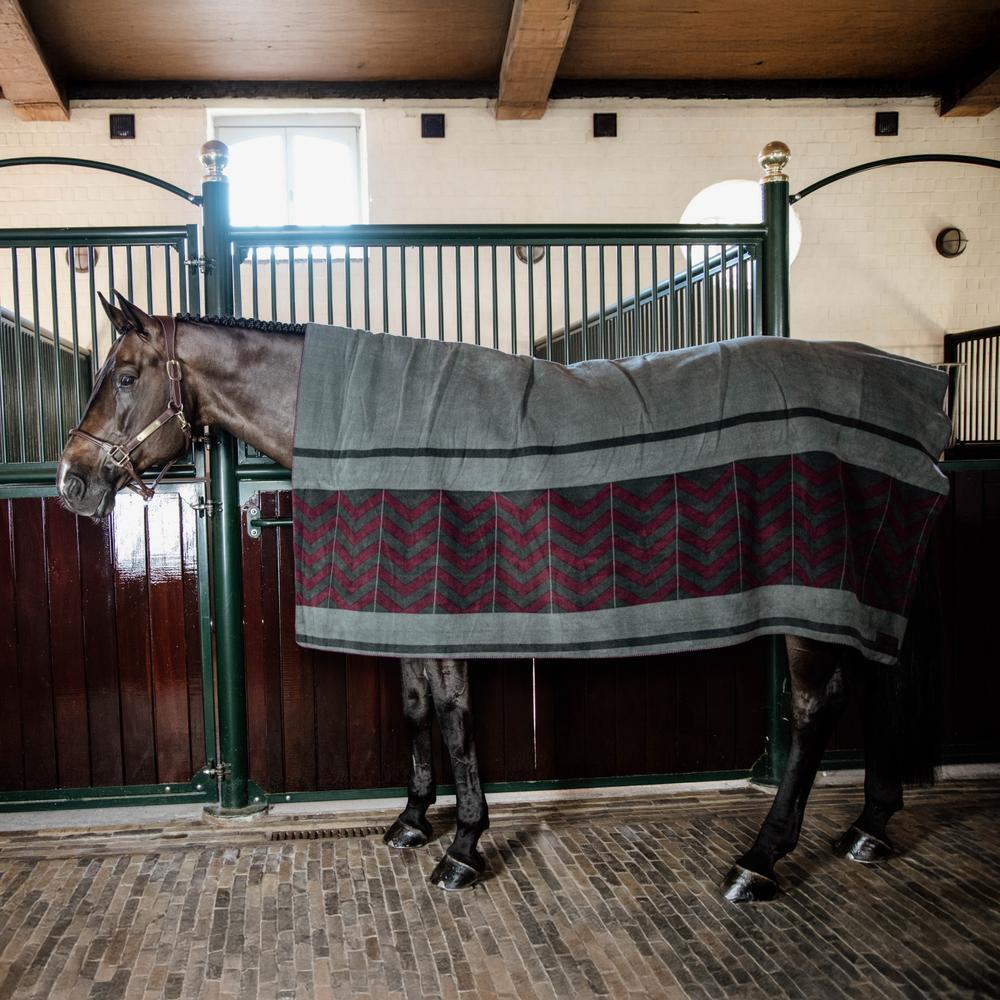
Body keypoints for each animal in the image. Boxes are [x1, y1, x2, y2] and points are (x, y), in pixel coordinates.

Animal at [57, 293, 946, 902]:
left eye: (125, 375)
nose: (71, 481)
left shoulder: (446, 608)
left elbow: (454, 717)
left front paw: (463, 848)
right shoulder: (405, 611)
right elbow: (416, 708)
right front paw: (413, 821)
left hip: (813, 604)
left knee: (815, 709)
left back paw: (758, 863)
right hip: (859, 594)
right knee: (875, 685)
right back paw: (869, 828)